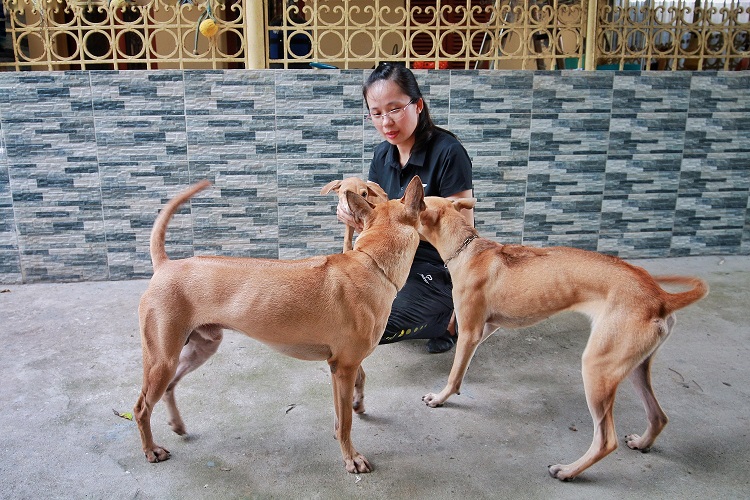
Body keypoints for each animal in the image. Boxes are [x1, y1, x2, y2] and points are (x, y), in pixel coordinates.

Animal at [135, 176, 426, 472]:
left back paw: (177, 425)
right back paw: (150, 449)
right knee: (141, 407)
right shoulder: (345, 367)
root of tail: (166, 265)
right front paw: (351, 457)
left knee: (170, 387)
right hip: (162, 360)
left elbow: (343, 409)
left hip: (199, 349)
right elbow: (346, 422)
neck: (372, 263)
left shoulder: (338, 367)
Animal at [424, 195, 712, 480]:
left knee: (606, 441)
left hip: (597, 368)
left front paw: (440, 398)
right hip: (633, 366)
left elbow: (454, 375)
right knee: (658, 416)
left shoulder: (470, 331)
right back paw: (642, 442)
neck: (469, 250)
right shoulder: (487, 327)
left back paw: (568, 470)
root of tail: (660, 297)